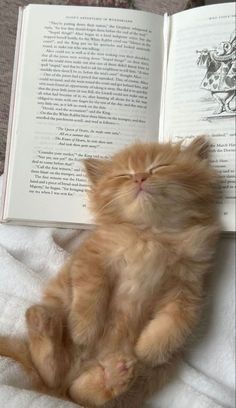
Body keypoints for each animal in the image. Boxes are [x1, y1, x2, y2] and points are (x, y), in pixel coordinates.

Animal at [0, 137, 219, 408]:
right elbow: (91, 292)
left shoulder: (188, 287)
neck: (151, 234)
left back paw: (114, 376)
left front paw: (149, 348)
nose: (140, 178)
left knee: (80, 394)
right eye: (124, 175)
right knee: (50, 372)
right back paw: (42, 325)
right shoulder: (93, 259)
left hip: (150, 374)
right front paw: (84, 329)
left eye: (159, 167)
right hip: (59, 309)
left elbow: (177, 321)